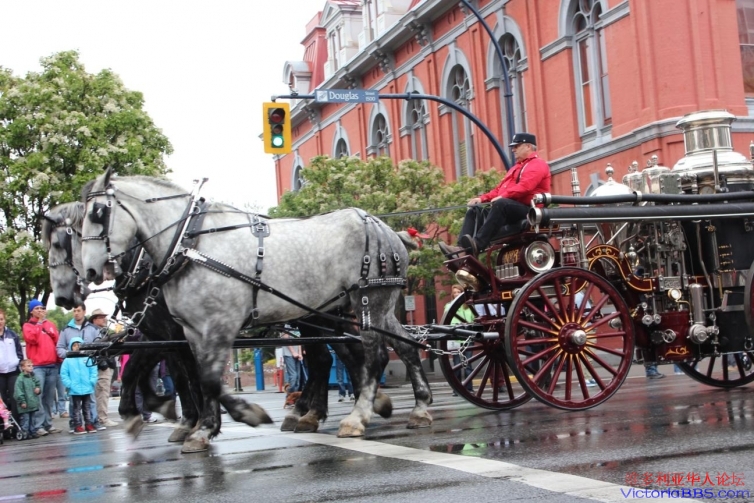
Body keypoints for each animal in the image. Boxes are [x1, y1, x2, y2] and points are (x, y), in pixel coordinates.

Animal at [80, 170, 432, 452]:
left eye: (97, 212)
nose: (90, 272)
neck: (190, 245)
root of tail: (389, 230)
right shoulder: (189, 333)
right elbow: (200, 378)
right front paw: (204, 427)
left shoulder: (214, 326)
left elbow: (204, 378)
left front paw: (238, 415)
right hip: (368, 308)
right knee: (403, 346)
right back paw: (419, 408)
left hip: (368, 301)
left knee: (374, 356)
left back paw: (356, 417)